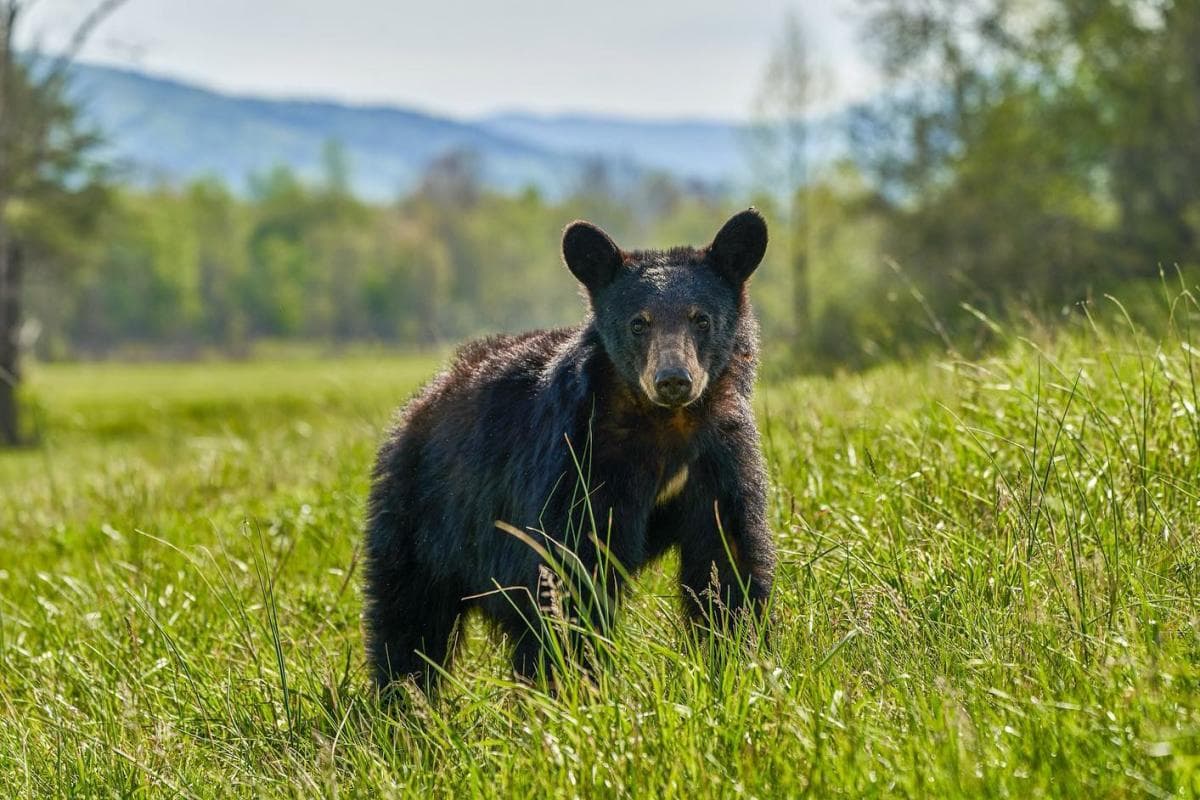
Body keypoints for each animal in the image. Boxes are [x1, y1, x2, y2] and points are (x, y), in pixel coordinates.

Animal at [362, 209, 776, 691]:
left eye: (701, 319)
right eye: (639, 322)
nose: (673, 379)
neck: (665, 426)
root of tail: (422, 400)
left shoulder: (720, 457)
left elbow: (726, 561)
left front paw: (740, 661)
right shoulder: (578, 461)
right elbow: (569, 571)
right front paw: (573, 681)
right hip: (425, 514)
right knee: (410, 615)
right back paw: (405, 697)